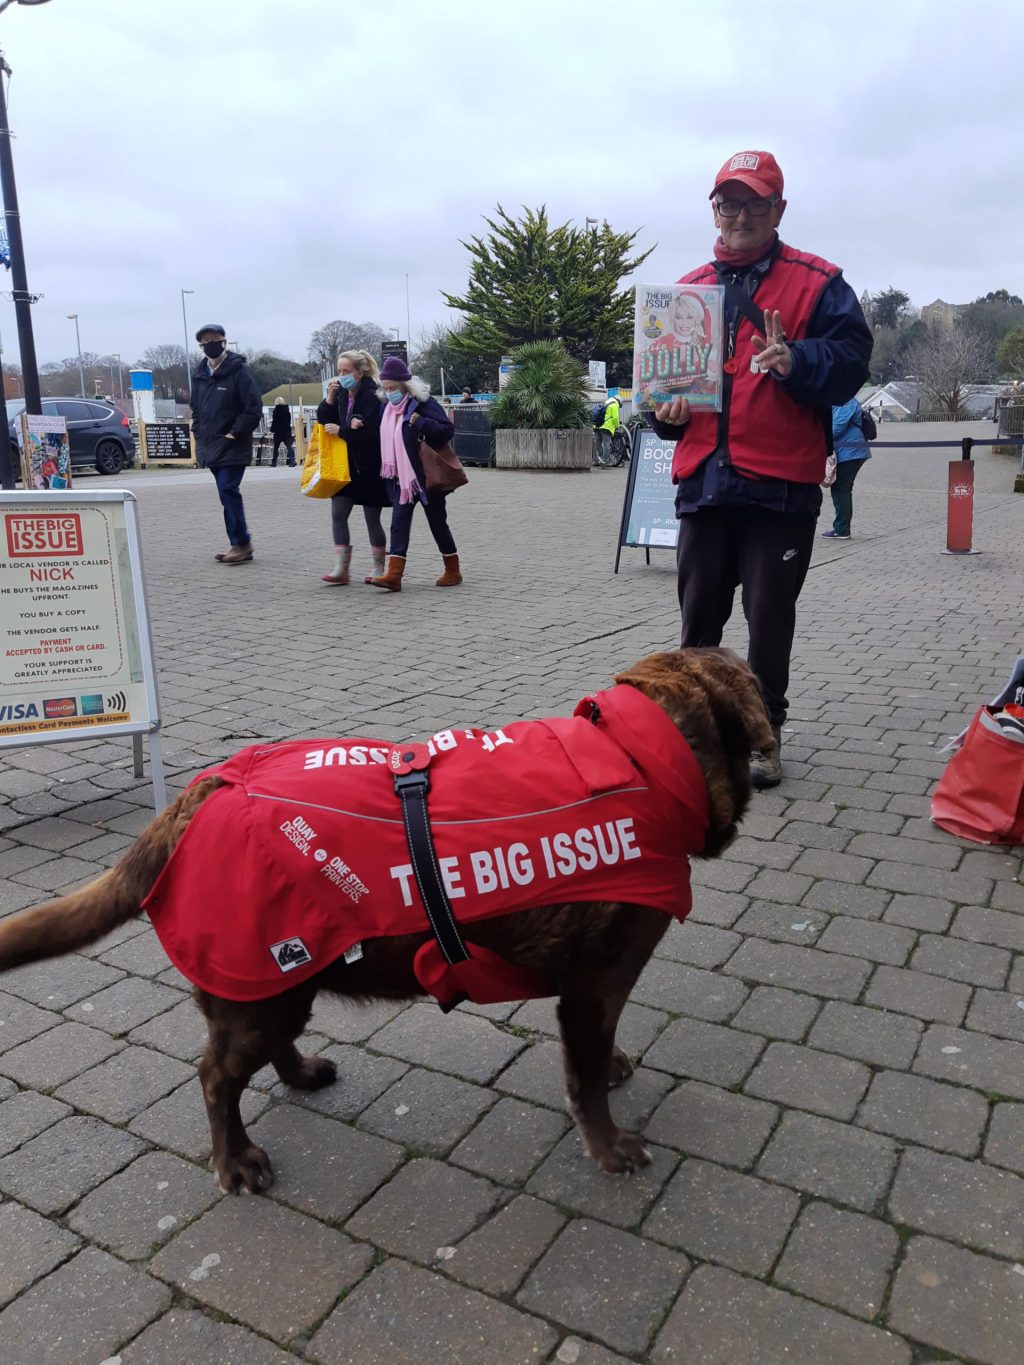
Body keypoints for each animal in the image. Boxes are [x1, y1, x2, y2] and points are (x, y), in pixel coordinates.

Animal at [0, 644, 770, 1190]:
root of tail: (203, 792)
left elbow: (596, 1054)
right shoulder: (594, 980)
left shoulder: (594, 990)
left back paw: (302, 1073)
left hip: (284, 977)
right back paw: (237, 1159)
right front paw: (610, 1147)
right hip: (261, 982)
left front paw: (613, 1069)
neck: (646, 758)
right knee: (217, 1076)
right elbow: (582, 1074)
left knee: (266, 1047)